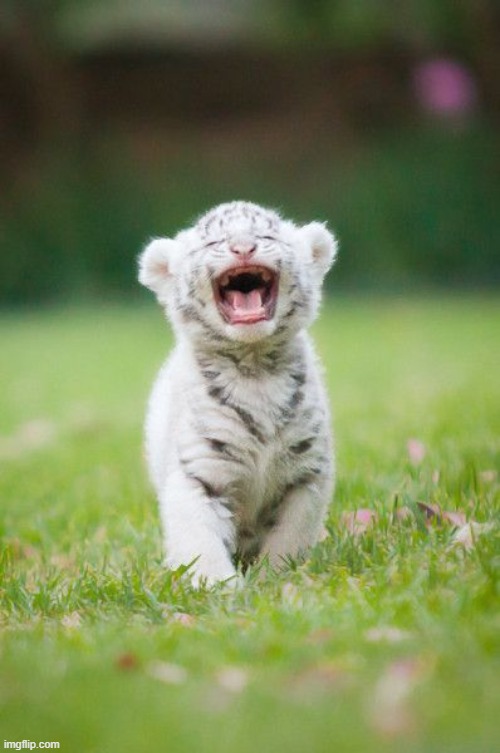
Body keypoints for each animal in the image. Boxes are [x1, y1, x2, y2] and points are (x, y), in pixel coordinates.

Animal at [138, 200, 337, 586]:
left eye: (266, 235)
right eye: (213, 240)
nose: (243, 247)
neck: (255, 367)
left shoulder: (307, 473)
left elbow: (290, 535)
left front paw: (274, 577)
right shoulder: (198, 470)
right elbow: (199, 540)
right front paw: (218, 587)